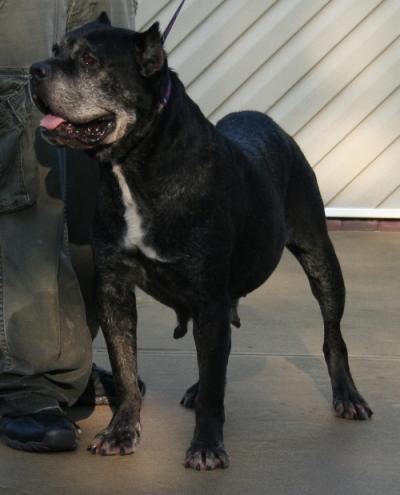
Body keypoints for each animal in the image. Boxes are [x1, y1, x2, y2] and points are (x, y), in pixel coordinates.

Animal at [30, 13, 372, 470]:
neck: (134, 165)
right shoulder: (116, 290)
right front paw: (122, 431)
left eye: (89, 60)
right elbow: (126, 368)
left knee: (331, 332)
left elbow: (213, 383)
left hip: (320, 258)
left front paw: (206, 446)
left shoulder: (209, 295)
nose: (35, 70)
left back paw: (347, 395)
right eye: (55, 51)